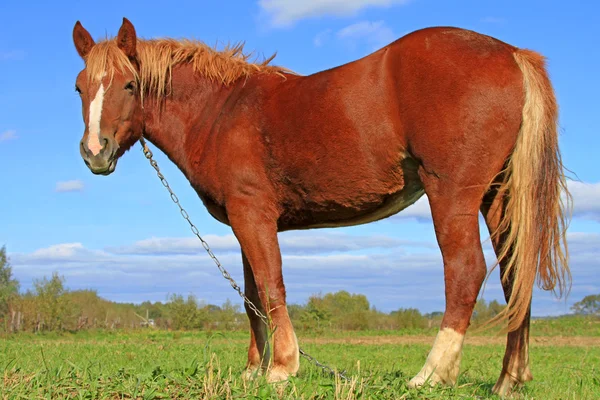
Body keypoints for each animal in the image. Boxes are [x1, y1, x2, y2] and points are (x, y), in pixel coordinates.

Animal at [72, 18, 568, 394]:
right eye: (79, 87)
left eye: (130, 84)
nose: (95, 152)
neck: (221, 110)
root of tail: (512, 54)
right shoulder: (242, 223)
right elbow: (252, 297)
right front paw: (252, 370)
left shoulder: (253, 215)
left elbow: (271, 286)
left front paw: (280, 368)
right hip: (498, 197)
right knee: (514, 275)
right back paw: (508, 380)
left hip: (452, 195)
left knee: (465, 271)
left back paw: (430, 374)